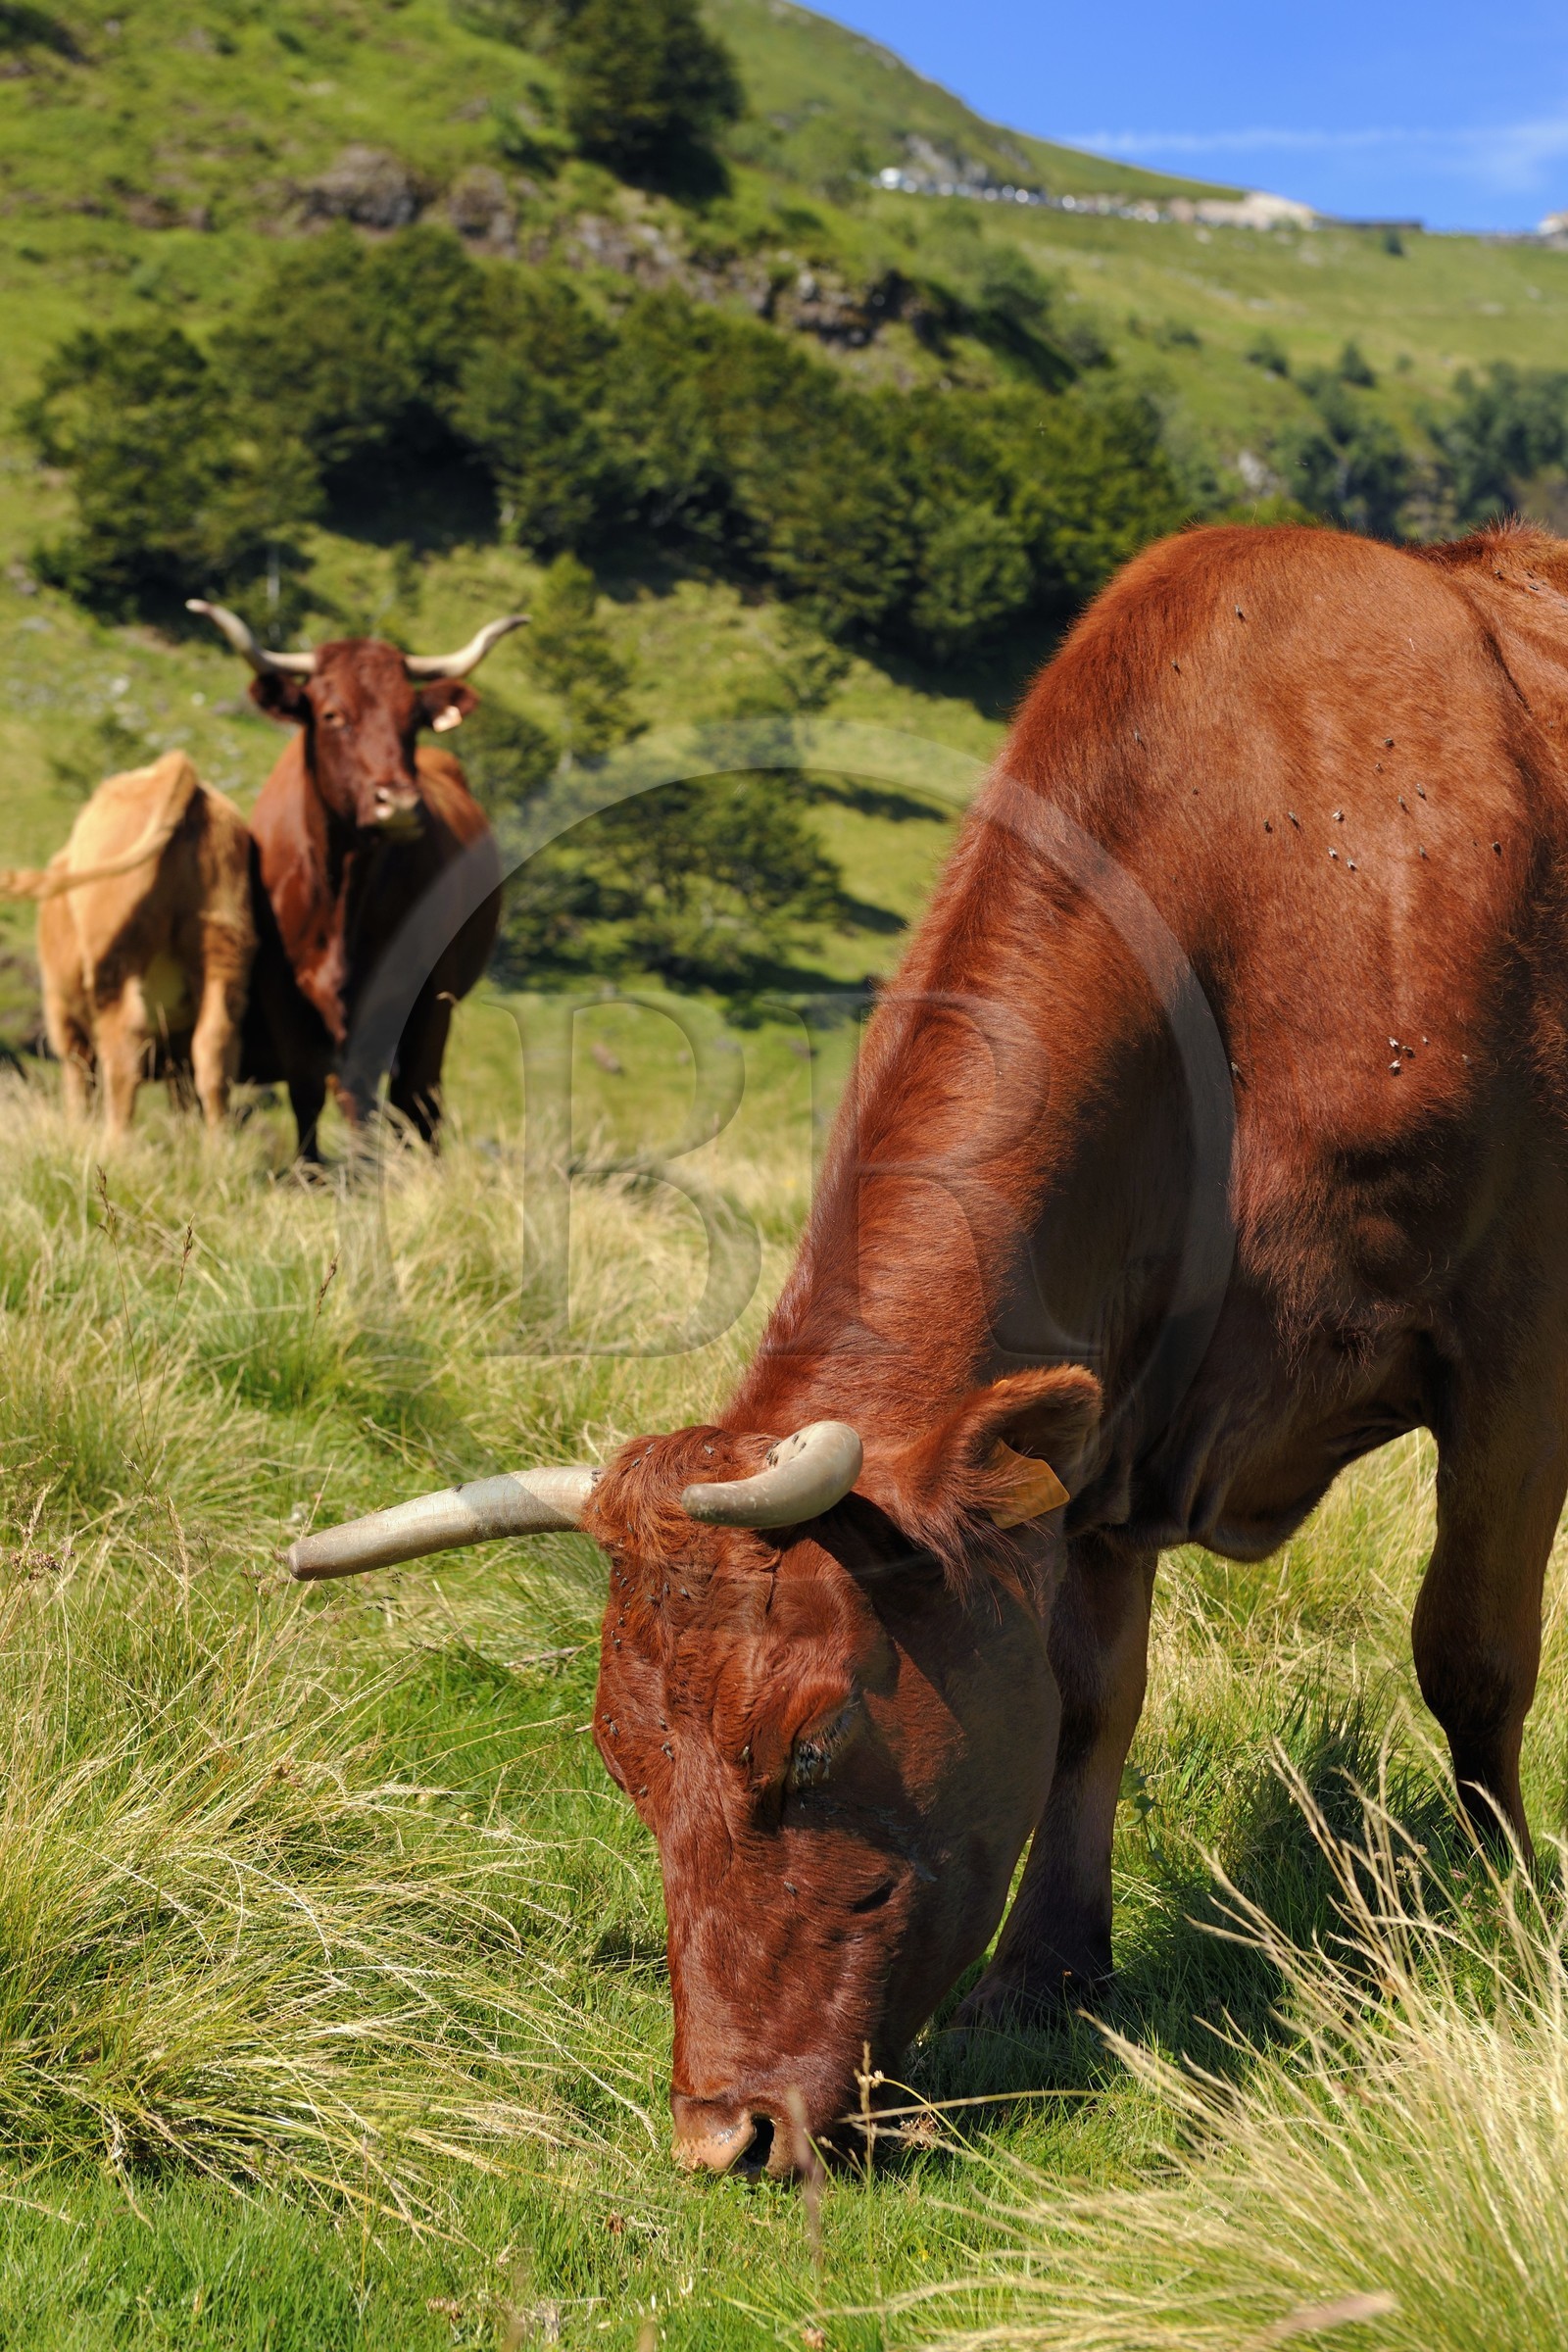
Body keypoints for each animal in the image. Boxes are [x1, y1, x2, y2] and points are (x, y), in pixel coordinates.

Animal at [2, 751, 254, 1133]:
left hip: (114, 966)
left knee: (123, 1054)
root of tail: (171, 766)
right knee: (214, 1049)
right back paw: (217, 1145)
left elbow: (79, 1083)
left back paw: (114, 1143)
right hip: (223, 946)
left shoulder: (63, 1019)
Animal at [188, 601, 516, 1156]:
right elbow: (309, 1092)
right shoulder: (288, 998)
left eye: (414, 718)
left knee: (416, 1101)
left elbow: (392, 1096)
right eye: (332, 715)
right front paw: (312, 1169)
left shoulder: (424, 995)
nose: (399, 803)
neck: (342, 890)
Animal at [284, 518, 1568, 2174]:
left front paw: (1501, 1918)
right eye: (623, 1764)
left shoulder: (1516, 1353)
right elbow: (1087, 1698)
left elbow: (1470, 1653)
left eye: (815, 1742)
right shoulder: (1091, 1430)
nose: (726, 2133)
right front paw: (1046, 1970)